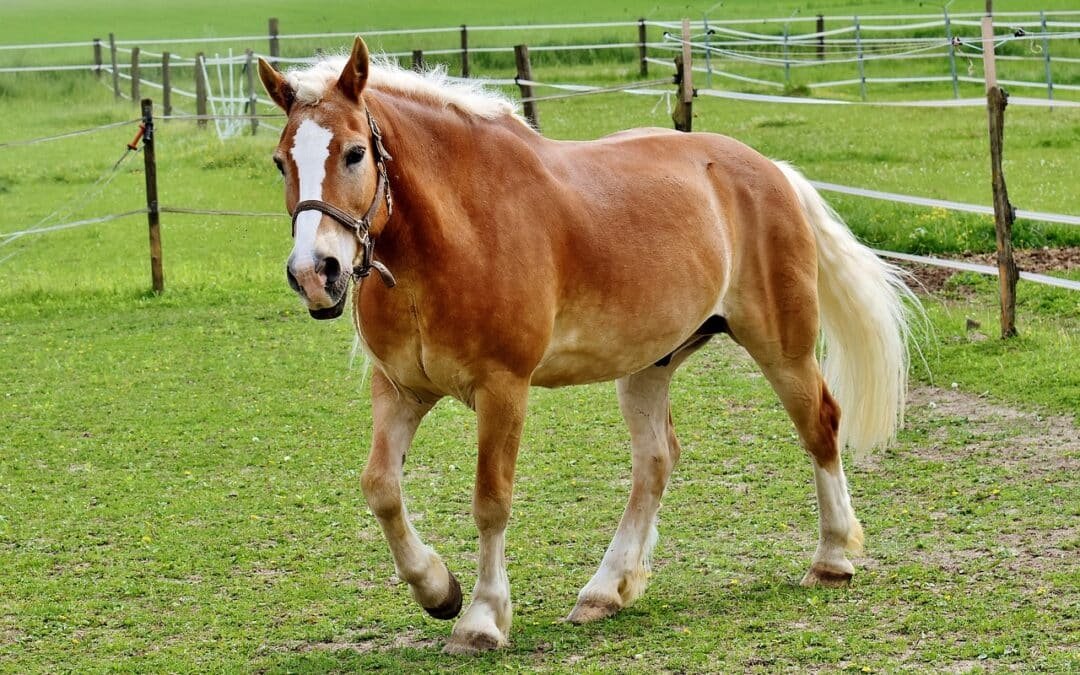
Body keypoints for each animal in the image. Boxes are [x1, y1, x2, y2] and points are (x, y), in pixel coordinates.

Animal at [257, 37, 915, 654]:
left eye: (354, 152)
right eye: (280, 161)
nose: (316, 273)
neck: (452, 234)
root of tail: (772, 171)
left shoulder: (503, 388)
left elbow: (491, 500)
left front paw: (482, 619)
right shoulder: (400, 390)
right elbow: (381, 488)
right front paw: (437, 589)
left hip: (782, 348)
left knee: (820, 425)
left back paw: (832, 558)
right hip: (650, 364)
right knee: (656, 462)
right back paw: (607, 590)